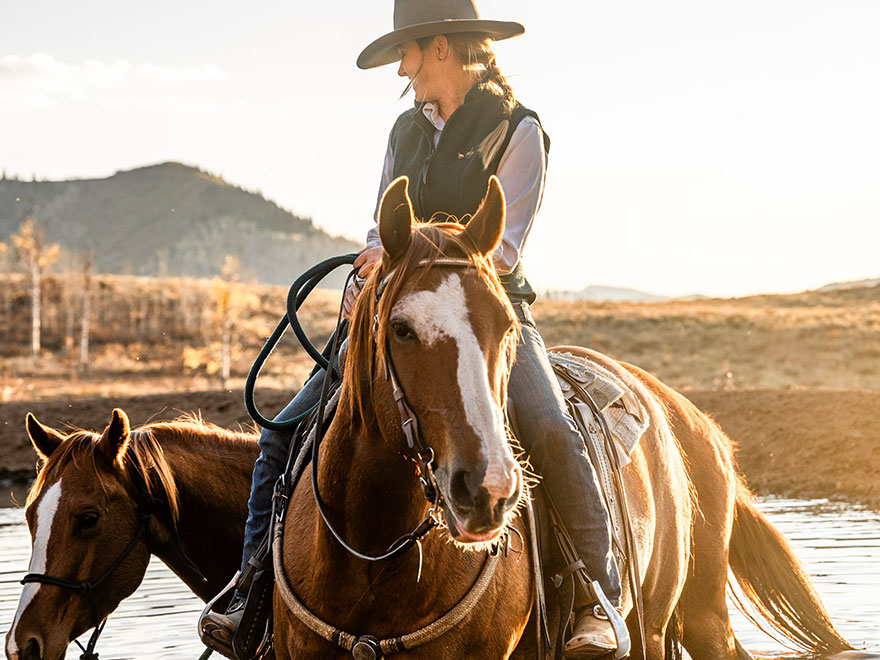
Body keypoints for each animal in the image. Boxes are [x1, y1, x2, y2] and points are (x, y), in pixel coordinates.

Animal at [274, 175, 852, 660]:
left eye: (506, 326)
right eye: (400, 328)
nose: (487, 489)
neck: (374, 556)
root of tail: (689, 419)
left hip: (687, 616)